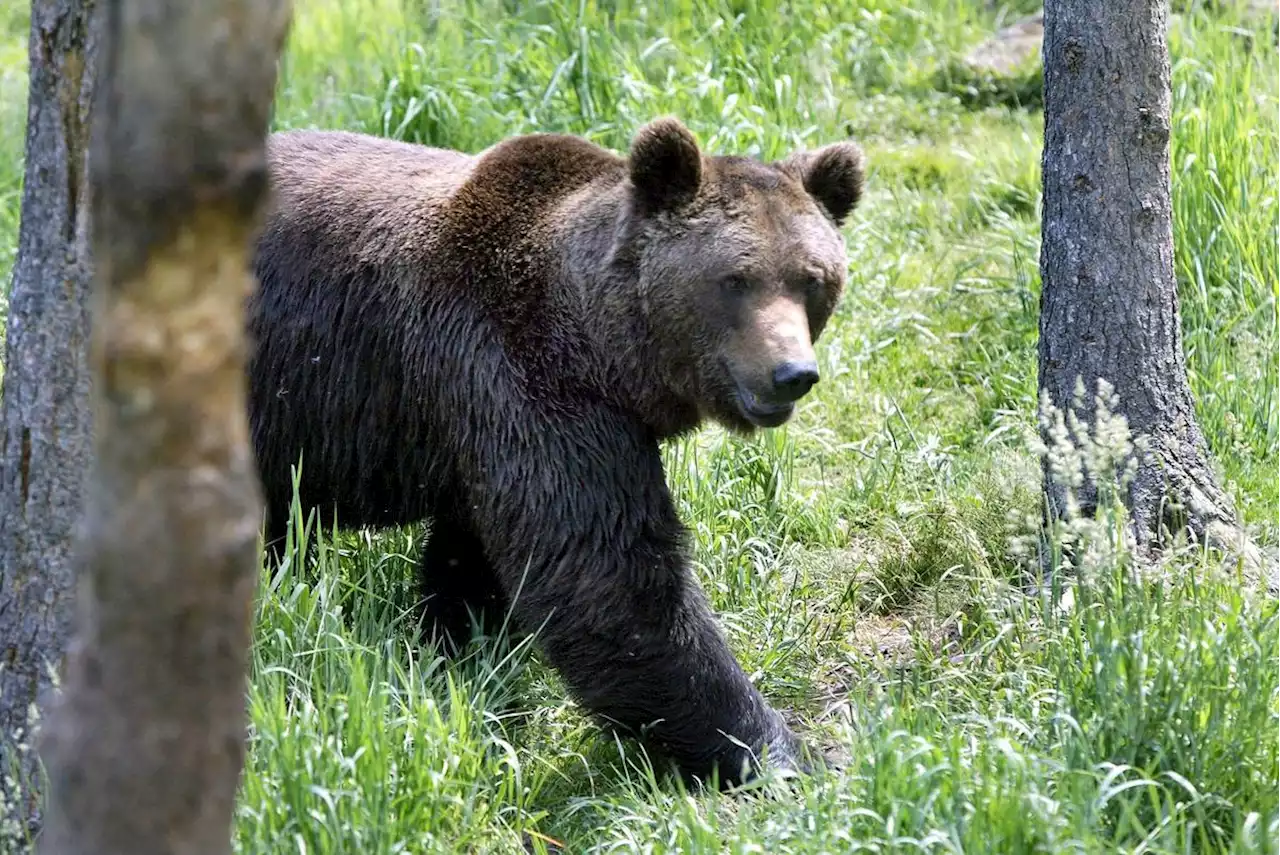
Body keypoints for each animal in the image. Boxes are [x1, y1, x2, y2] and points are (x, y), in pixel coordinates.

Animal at [244, 115, 865, 788]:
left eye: (812, 280)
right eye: (736, 279)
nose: (791, 373)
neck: (603, 345)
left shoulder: (488, 421)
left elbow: (481, 559)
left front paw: (459, 647)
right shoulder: (523, 374)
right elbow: (609, 579)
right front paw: (780, 752)